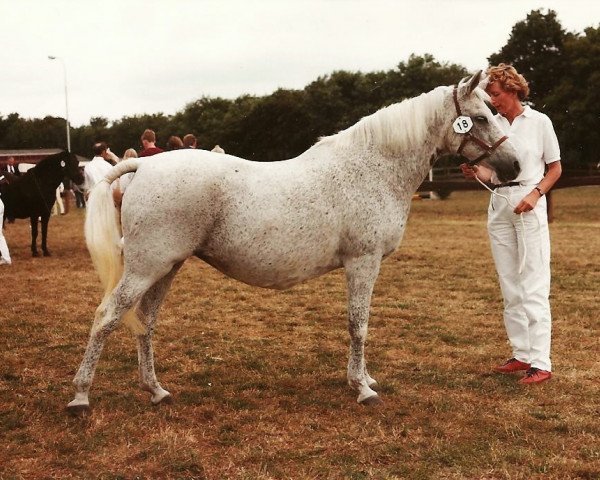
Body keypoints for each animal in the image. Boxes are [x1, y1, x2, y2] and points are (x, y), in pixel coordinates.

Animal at [69, 72, 520, 412]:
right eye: (479, 118)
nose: (514, 166)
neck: (372, 167)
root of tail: (144, 166)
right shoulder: (363, 261)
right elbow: (358, 324)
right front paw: (363, 389)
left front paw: (364, 378)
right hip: (145, 267)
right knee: (107, 316)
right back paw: (81, 397)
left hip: (166, 267)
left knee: (144, 323)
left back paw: (156, 391)